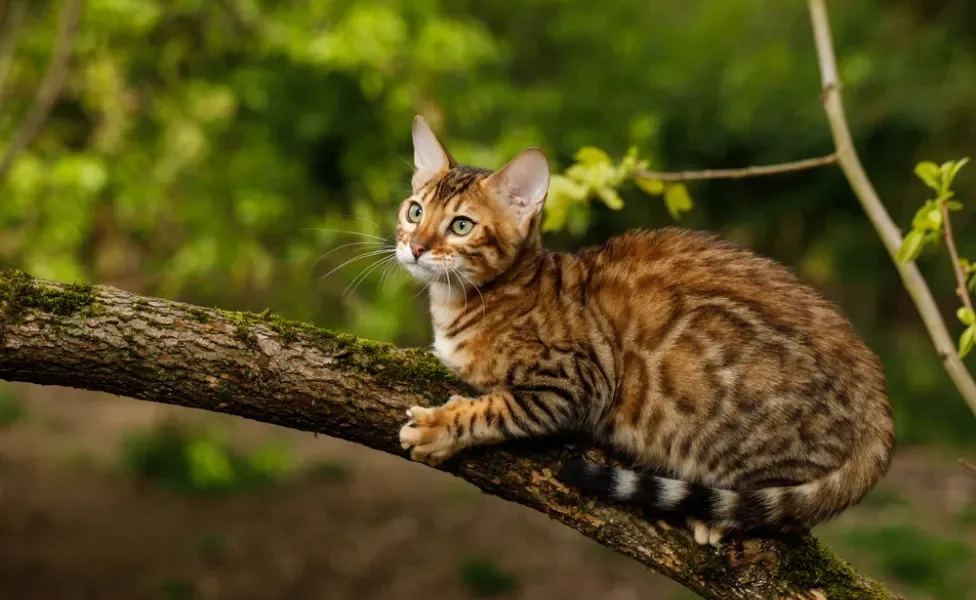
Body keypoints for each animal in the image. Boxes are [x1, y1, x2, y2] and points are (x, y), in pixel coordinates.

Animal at [394, 115, 892, 548]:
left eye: (461, 225)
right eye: (415, 212)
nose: (415, 246)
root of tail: (879, 408)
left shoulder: (579, 381)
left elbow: (499, 409)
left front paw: (440, 427)